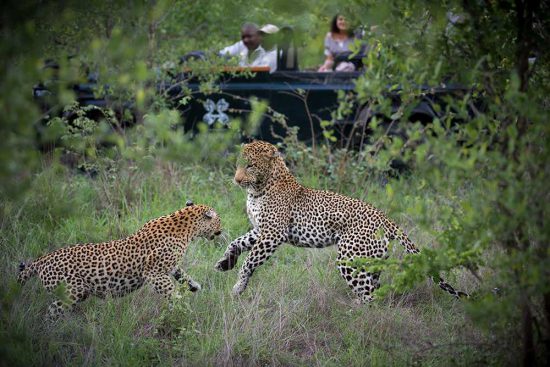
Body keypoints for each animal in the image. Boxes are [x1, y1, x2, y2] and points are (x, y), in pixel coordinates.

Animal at [18, 201, 223, 320]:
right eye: (219, 220)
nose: (222, 229)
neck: (186, 227)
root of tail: (41, 260)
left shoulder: (168, 266)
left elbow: (181, 273)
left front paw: (194, 286)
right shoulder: (154, 273)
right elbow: (170, 291)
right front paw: (183, 308)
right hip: (70, 293)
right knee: (51, 314)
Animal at [216, 139, 470, 304]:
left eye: (250, 165)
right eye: (238, 164)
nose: (236, 179)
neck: (257, 189)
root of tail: (385, 218)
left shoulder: (273, 233)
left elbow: (249, 262)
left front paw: (238, 287)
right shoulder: (260, 230)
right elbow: (236, 243)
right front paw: (225, 263)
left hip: (349, 258)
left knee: (370, 296)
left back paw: (356, 317)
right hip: (371, 262)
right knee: (375, 289)